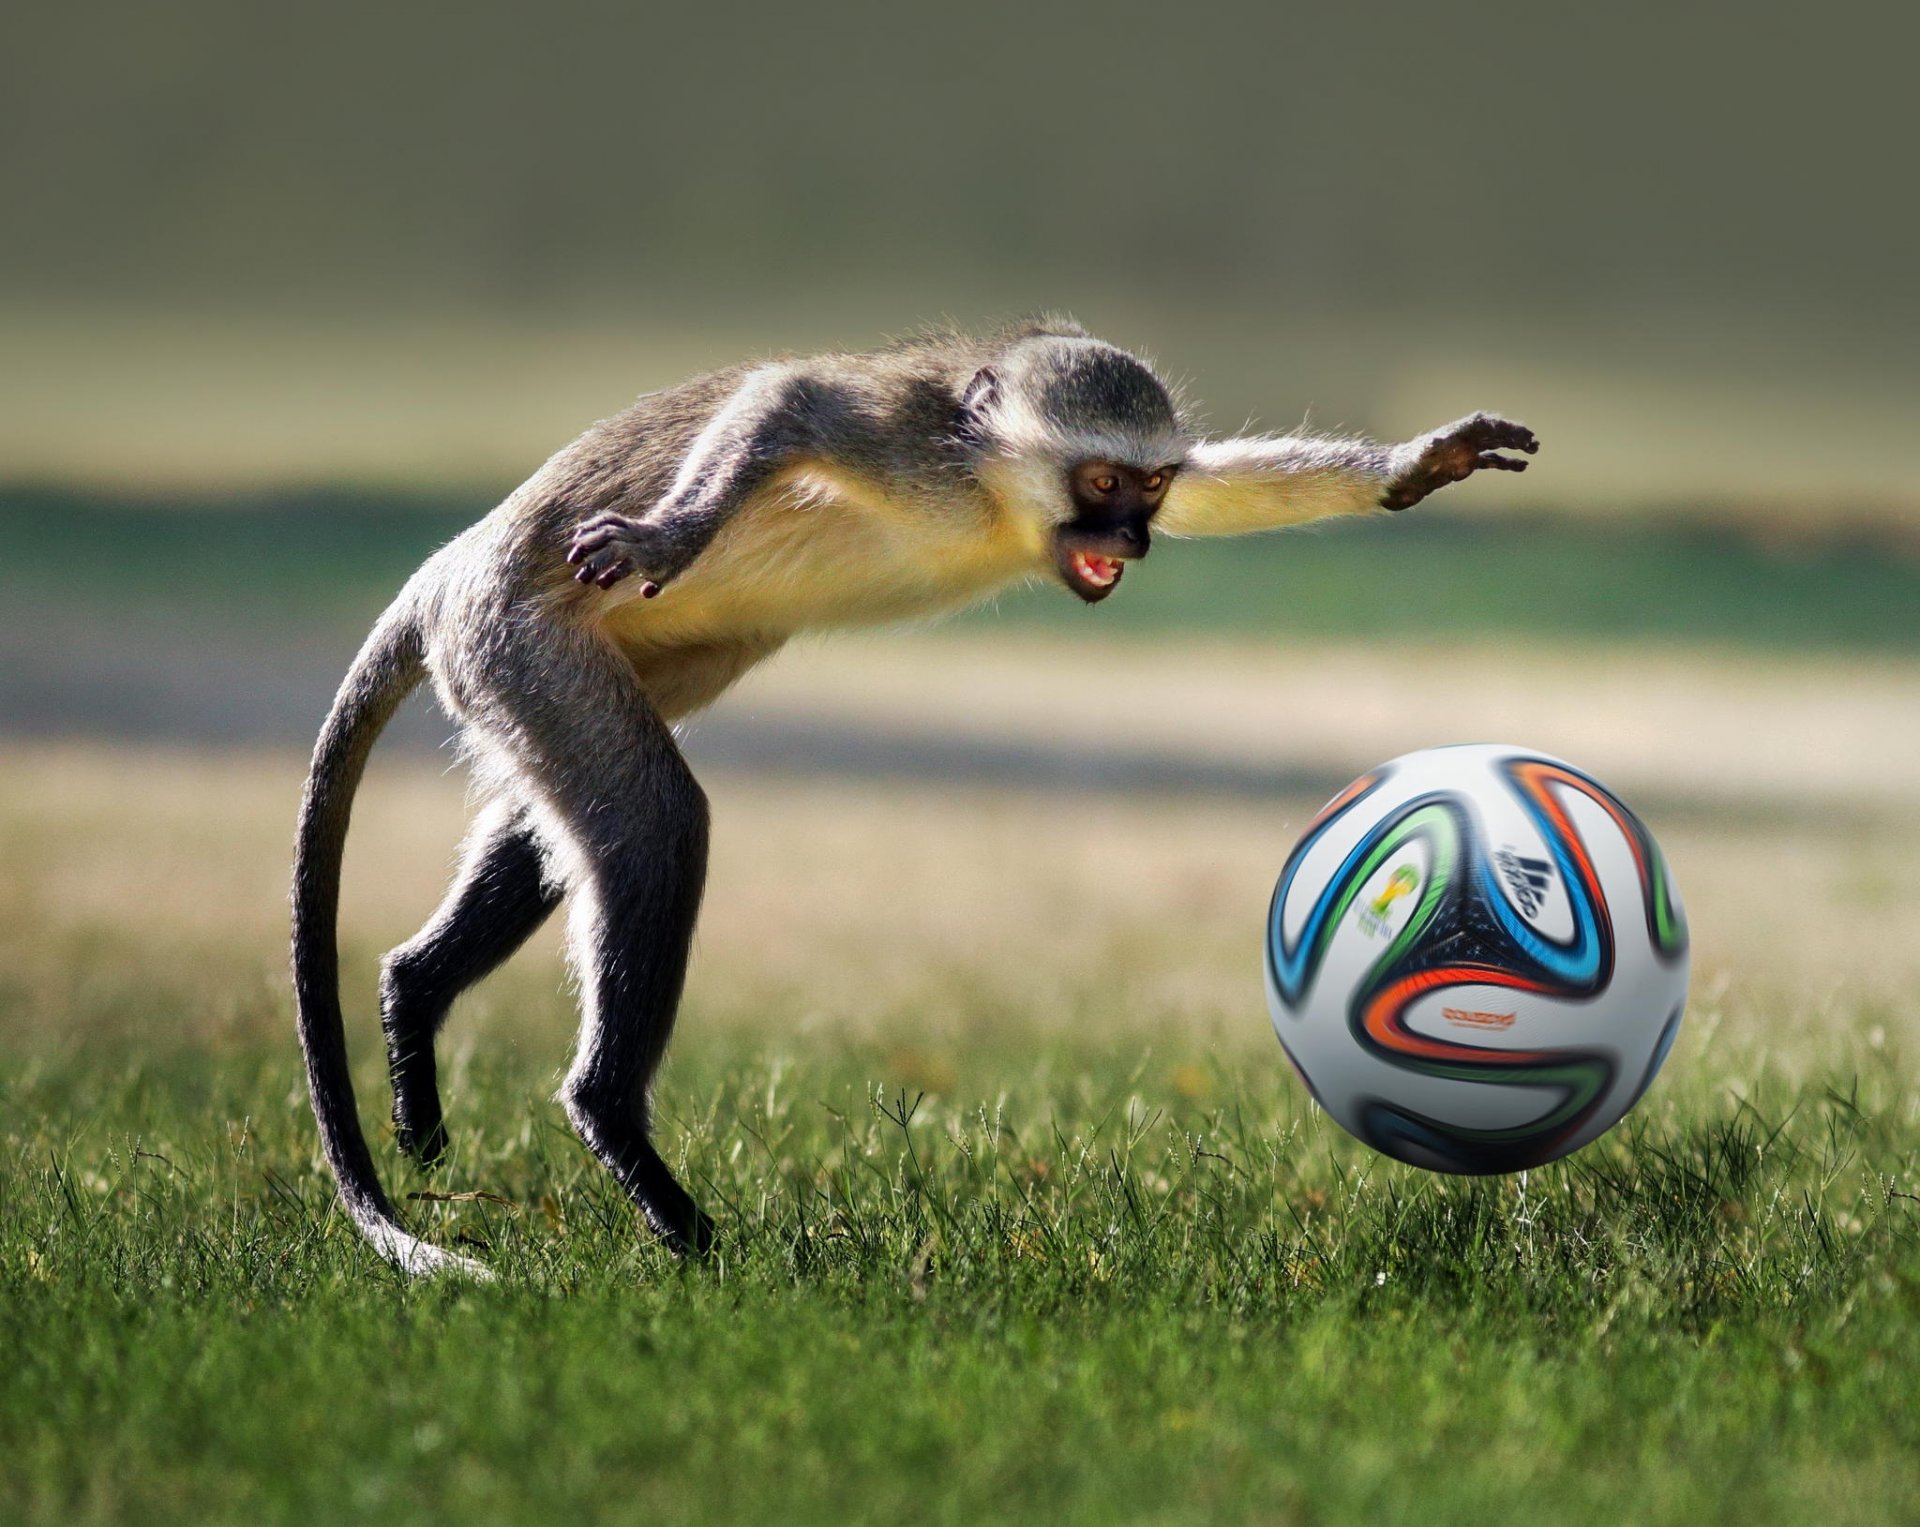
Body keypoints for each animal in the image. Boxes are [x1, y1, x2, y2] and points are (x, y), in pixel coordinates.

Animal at [291, 317, 1539, 1277]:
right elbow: (789, 395)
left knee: (563, 821)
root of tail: (445, 574)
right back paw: (618, 1131)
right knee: (651, 820)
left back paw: (415, 995)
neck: (996, 500)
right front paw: (670, 528)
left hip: (554, 664)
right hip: (517, 639)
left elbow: (1221, 492)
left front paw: (1414, 466)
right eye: (1102, 484)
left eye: (1147, 486)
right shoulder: (908, 446)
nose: (1132, 537)